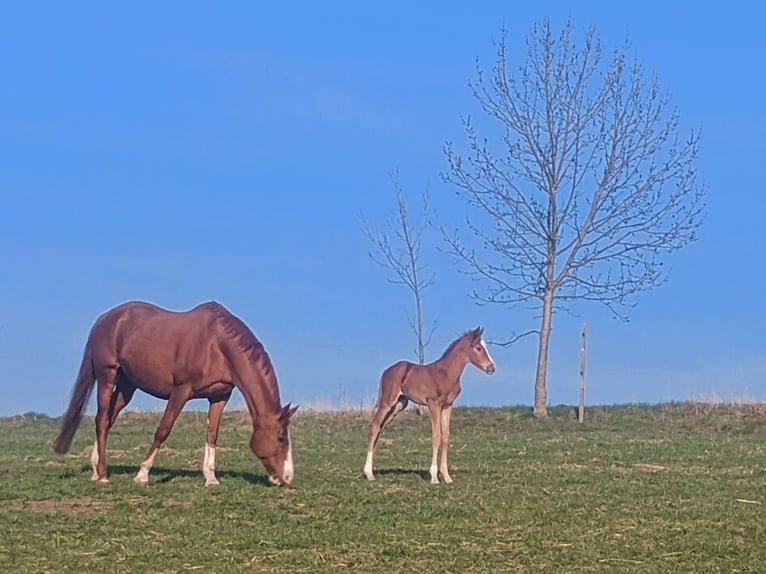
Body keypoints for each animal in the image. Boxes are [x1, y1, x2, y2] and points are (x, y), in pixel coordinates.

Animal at [53, 301, 298, 487]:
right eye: (281, 437)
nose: (287, 477)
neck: (216, 345)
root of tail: (104, 319)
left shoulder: (219, 397)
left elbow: (212, 434)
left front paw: (210, 478)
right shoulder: (181, 391)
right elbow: (163, 430)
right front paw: (142, 474)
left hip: (127, 385)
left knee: (107, 419)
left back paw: (96, 468)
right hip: (107, 375)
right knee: (103, 420)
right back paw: (103, 475)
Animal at [363, 327, 496, 484]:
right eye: (478, 348)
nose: (491, 368)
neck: (446, 373)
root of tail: (386, 371)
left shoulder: (447, 406)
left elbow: (445, 436)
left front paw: (447, 476)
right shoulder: (433, 405)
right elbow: (436, 436)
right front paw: (434, 477)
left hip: (399, 405)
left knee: (380, 428)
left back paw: (372, 470)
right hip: (387, 402)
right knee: (374, 426)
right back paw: (369, 474)